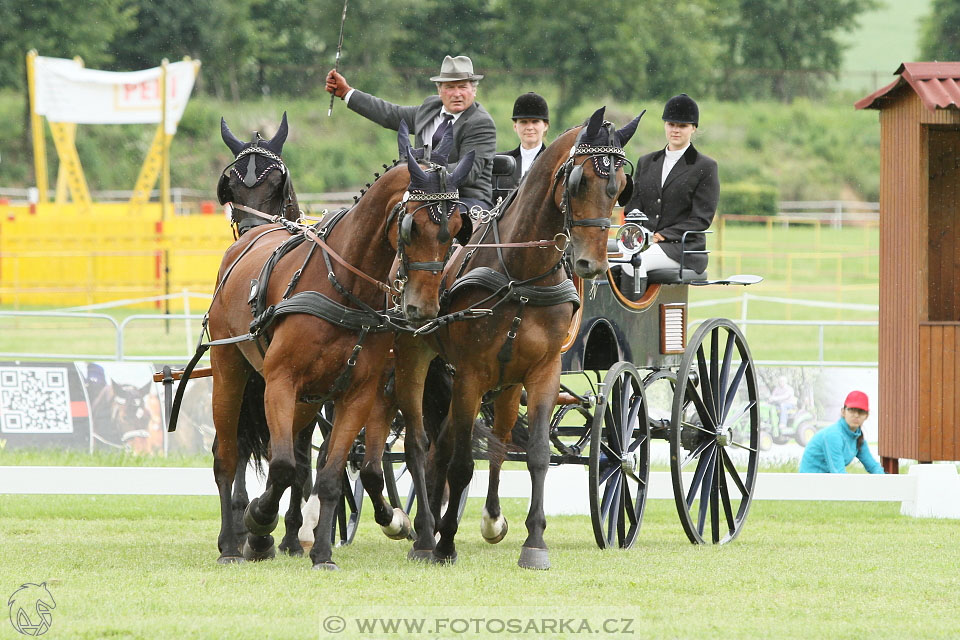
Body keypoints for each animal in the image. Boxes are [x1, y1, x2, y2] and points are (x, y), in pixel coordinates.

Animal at [207, 116, 472, 568]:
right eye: (411, 226)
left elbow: (332, 472)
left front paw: (322, 551)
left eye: (456, 228)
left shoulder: (360, 392)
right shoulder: (280, 383)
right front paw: (260, 522)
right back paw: (233, 542)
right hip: (231, 372)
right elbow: (283, 464)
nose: (423, 306)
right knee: (229, 454)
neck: (344, 287)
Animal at [384, 106, 644, 568]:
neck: (521, 275)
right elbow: (462, 462)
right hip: (418, 358)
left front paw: (534, 543)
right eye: (578, 181)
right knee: (419, 443)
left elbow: (536, 454)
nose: (591, 265)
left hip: (503, 382)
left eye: (619, 187)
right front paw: (446, 543)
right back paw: (426, 537)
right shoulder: (470, 373)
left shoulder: (543, 371)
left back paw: (477, 521)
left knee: (486, 443)